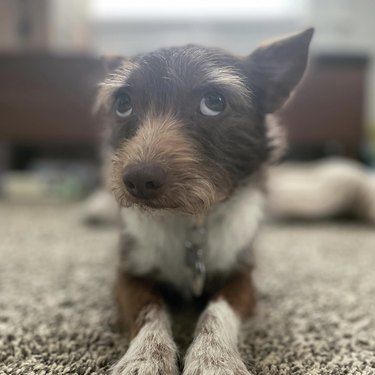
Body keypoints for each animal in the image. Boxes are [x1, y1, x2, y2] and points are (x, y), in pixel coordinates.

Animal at [96, 29, 314, 375]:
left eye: (213, 103)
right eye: (123, 103)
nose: (137, 181)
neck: (188, 218)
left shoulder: (242, 278)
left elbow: (218, 313)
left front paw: (215, 359)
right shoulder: (128, 275)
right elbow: (149, 311)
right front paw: (144, 358)